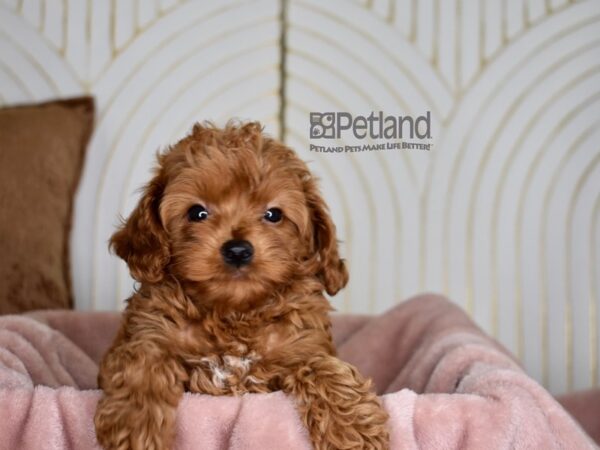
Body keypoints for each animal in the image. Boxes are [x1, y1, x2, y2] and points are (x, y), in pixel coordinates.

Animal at [94, 121, 390, 448]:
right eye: (197, 212)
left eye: (273, 214)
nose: (237, 250)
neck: (233, 313)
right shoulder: (148, 334)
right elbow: (142, 363)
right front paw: (135, 427)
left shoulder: (303, 345)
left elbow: (322, 367)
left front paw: (355, 430)